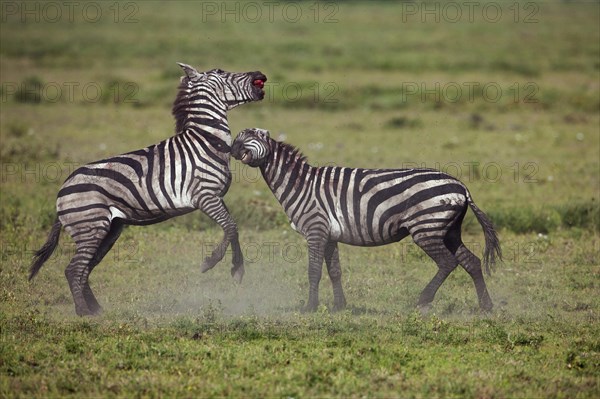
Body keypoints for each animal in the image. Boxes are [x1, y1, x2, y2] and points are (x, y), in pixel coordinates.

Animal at [28, 65, 268, 316]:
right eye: (221, 72)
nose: (260, 74)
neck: (207, 142)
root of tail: (63, 188)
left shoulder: (216, 197)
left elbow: (232, 228)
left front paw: (234, 267)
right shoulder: (205, 196)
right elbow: (230, 227)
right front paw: (213, 263)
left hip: (108, 229)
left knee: (84, 269)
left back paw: (96, 309)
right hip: (90, 226)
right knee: (74, 269)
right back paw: (84, 312)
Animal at [232, 128, 504, 312]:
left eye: (246, 139)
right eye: (236, 138)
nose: (232, 149)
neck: (299, 184)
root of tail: (462, 187)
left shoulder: (315, 228)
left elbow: (314, 270)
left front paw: (310, 307)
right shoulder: (330, 234)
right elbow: (335, 271)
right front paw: (339, 306)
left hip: (426, 228)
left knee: (448, 263)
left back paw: (422, 300)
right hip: (448, 230)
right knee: (471, 262)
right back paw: (486, 306)